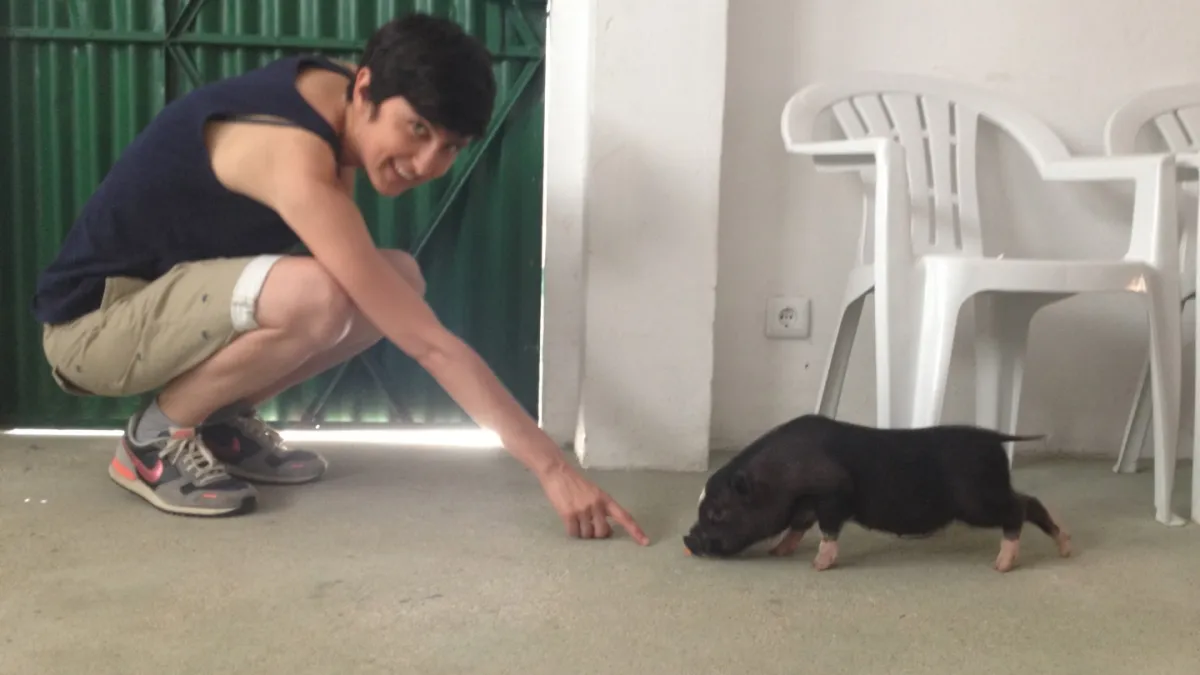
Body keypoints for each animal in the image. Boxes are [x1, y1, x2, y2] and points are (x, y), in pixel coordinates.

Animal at [682, 414, 1072, 572]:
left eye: (717, 513)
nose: (687, 539)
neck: (781, 475)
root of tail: (994, 439)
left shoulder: (833, 493)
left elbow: (828, 530)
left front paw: (818, 566)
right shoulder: (805, 506)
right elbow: (797, 526)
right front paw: (778, 552)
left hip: (976, 500)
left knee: (1018, 510)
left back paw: (1001, 565)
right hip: (990, 492)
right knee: (1030, 503)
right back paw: (1065, 548)